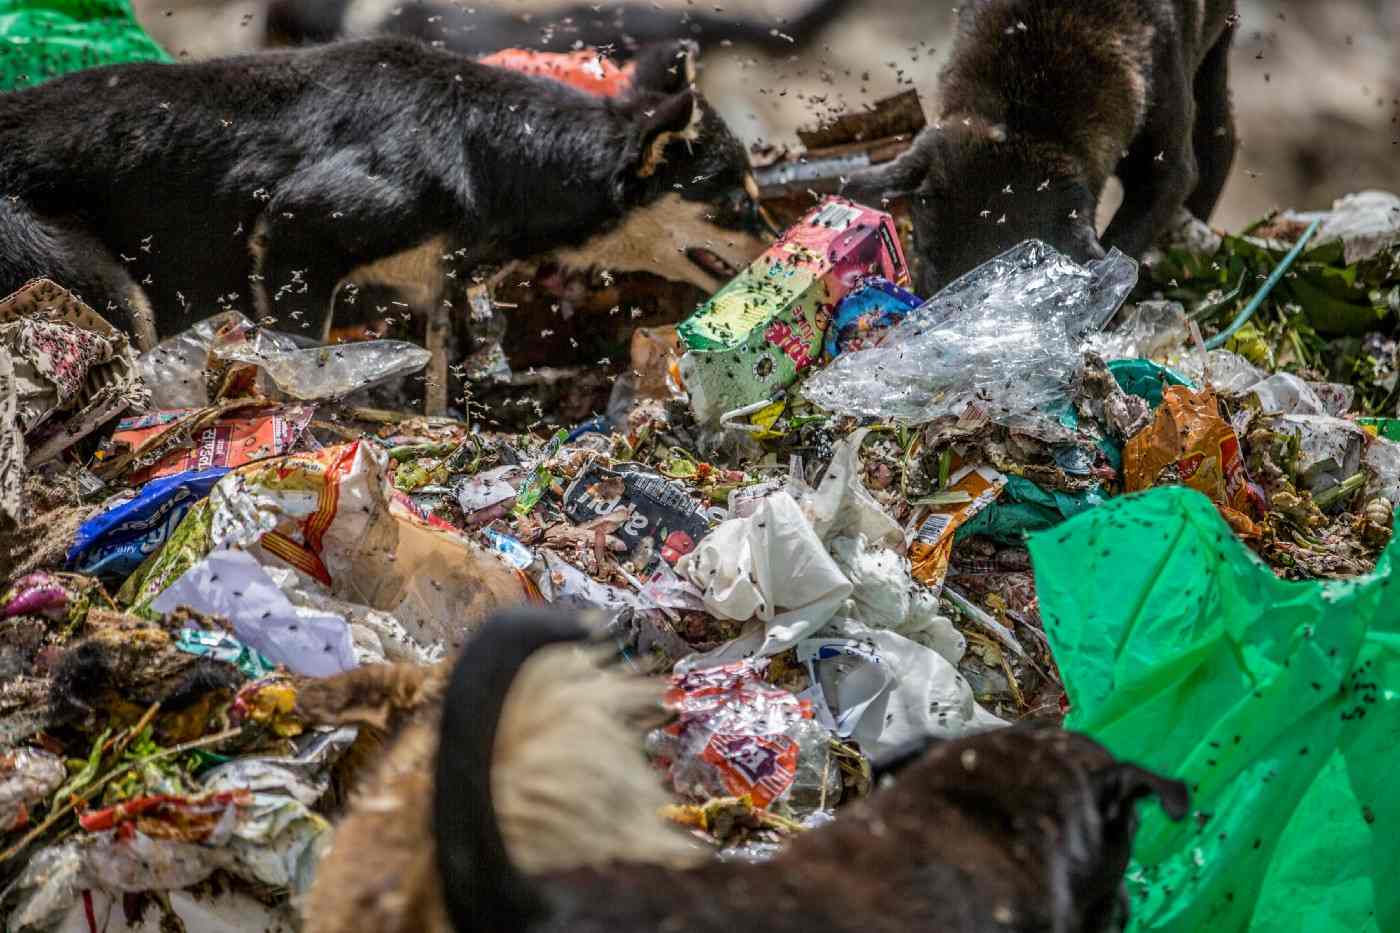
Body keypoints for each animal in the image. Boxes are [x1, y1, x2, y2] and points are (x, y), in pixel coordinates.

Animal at [0, 37, 767, 341]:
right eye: (737, 204)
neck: (486, 149)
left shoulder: (434, 280)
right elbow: (301, 352)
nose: (783, 243)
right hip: (83, 280)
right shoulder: (301, 229)